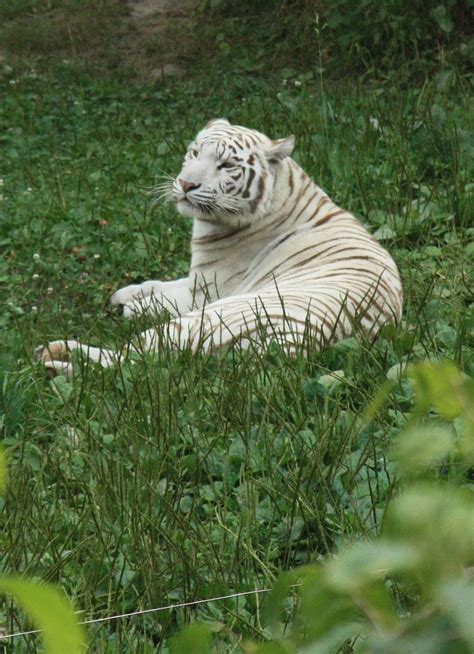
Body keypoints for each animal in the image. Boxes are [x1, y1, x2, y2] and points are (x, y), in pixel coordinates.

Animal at [37, 119, 402, 380]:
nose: (186, 184)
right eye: (194, 153)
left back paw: (55, 355)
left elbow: (165, 297)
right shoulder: (199, 277)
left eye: (226, 165)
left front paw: (131, 307)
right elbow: (159, 284)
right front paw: (125, 294)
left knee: (128, 361)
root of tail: (288, 350)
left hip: (201, 320)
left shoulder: (207, 290)